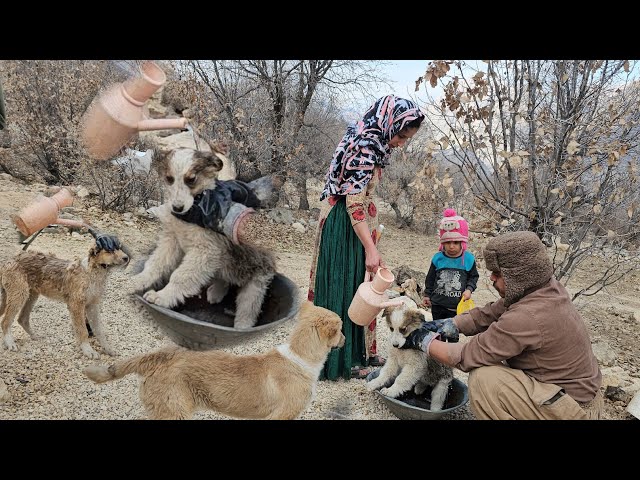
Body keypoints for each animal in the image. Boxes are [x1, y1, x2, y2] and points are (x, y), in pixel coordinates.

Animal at [0, 242, 130, 358]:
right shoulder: (76, 305)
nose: (126, 258)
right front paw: (88, 350)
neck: (93, 273)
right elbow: (83, 330)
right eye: (109, 250)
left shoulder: (92, 306)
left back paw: (35, 336)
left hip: (32, 295)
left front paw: (108, 349)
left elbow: (99, 331)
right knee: (6, 321)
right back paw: (10, 342)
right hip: (19, 294)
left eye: (119, 248)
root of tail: (8, 260)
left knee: (22, 318)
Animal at [132, 142, 276, 330]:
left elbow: (180, 276)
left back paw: (242, 326)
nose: (177, 208)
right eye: (169, 179)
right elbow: (156, 263)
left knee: (248, 308)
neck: (193, 211)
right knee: (223, 277)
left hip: (254, 279)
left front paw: (163, 297)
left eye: (191, 179)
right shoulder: (171, 240)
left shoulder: (205, 251)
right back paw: (217, 292)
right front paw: (140, 279)